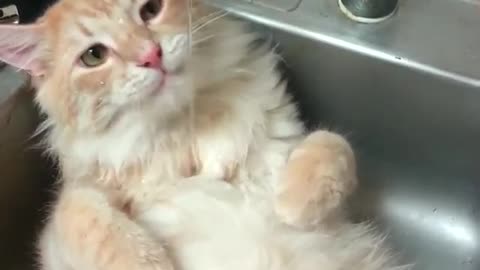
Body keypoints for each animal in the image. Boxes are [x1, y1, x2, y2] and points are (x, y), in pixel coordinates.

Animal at [0, 0, 404, 270]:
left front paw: (292, 203)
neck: (184, 129)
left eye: (150, 9)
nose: (151, 55)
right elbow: (78, 212)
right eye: (94, 56)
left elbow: (333, 144)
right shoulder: (63, 226)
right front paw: (151, 263)